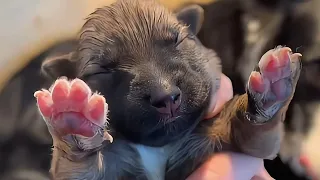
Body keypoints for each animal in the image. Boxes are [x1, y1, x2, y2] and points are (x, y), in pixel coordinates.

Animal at [35, 0, 302, 179]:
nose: (166, 97)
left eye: (177, 40)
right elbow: (76, 167)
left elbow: (253, 132)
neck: (159, 148)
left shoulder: (227, 138)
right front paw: (71, 119)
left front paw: (271, 88)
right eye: (103, 70)